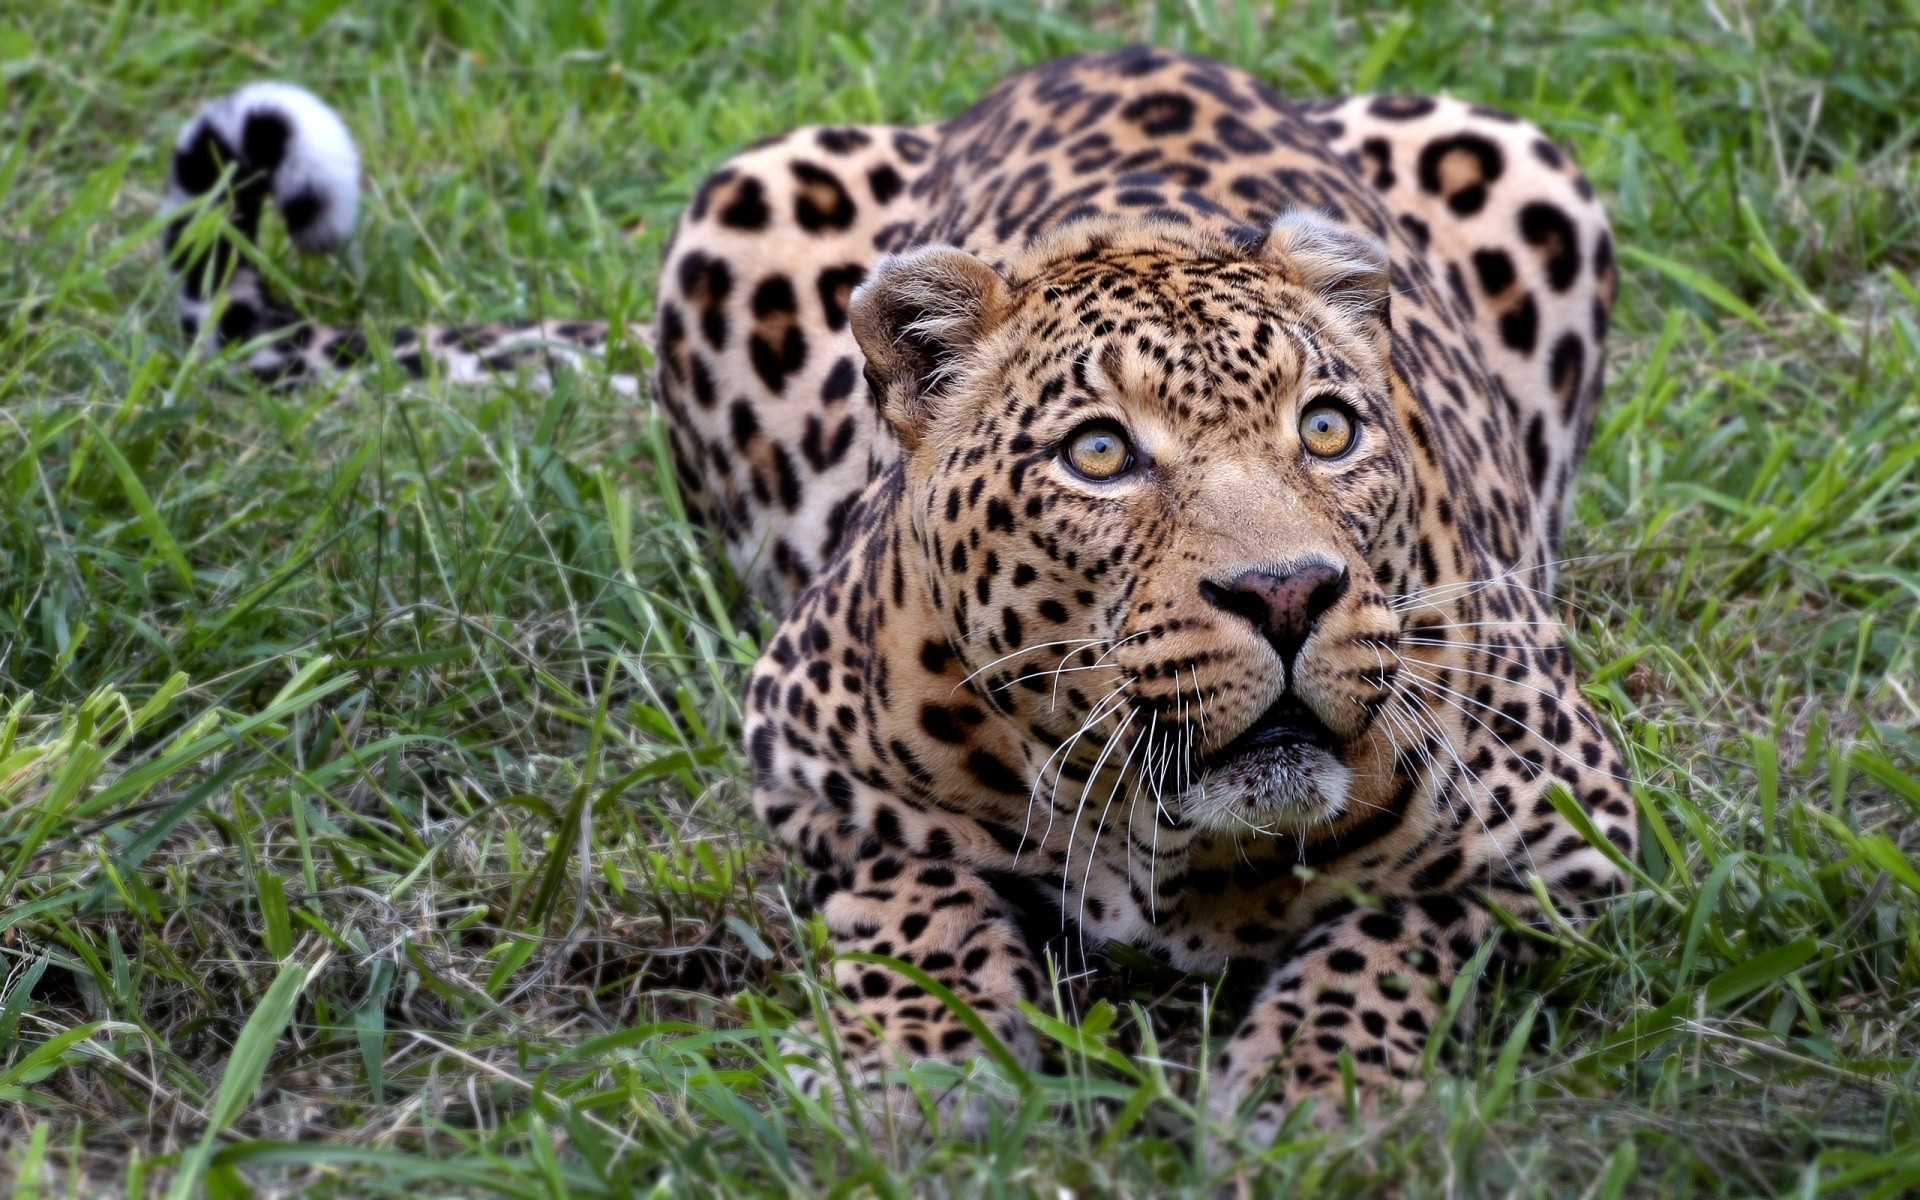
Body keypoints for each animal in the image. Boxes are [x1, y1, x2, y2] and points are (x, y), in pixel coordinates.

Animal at [168, 42, 1635, 1136]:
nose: (1286, 593)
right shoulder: (804, 757)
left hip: (1518, 156)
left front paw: (1314, 1088)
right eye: (1100, 455)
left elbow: (1399, 925)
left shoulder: (1579, 837)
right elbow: (912, 888)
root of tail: (1115, 44)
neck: (1169, 842)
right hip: (747, 194)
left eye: (1327, 430)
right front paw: (914, 1067)